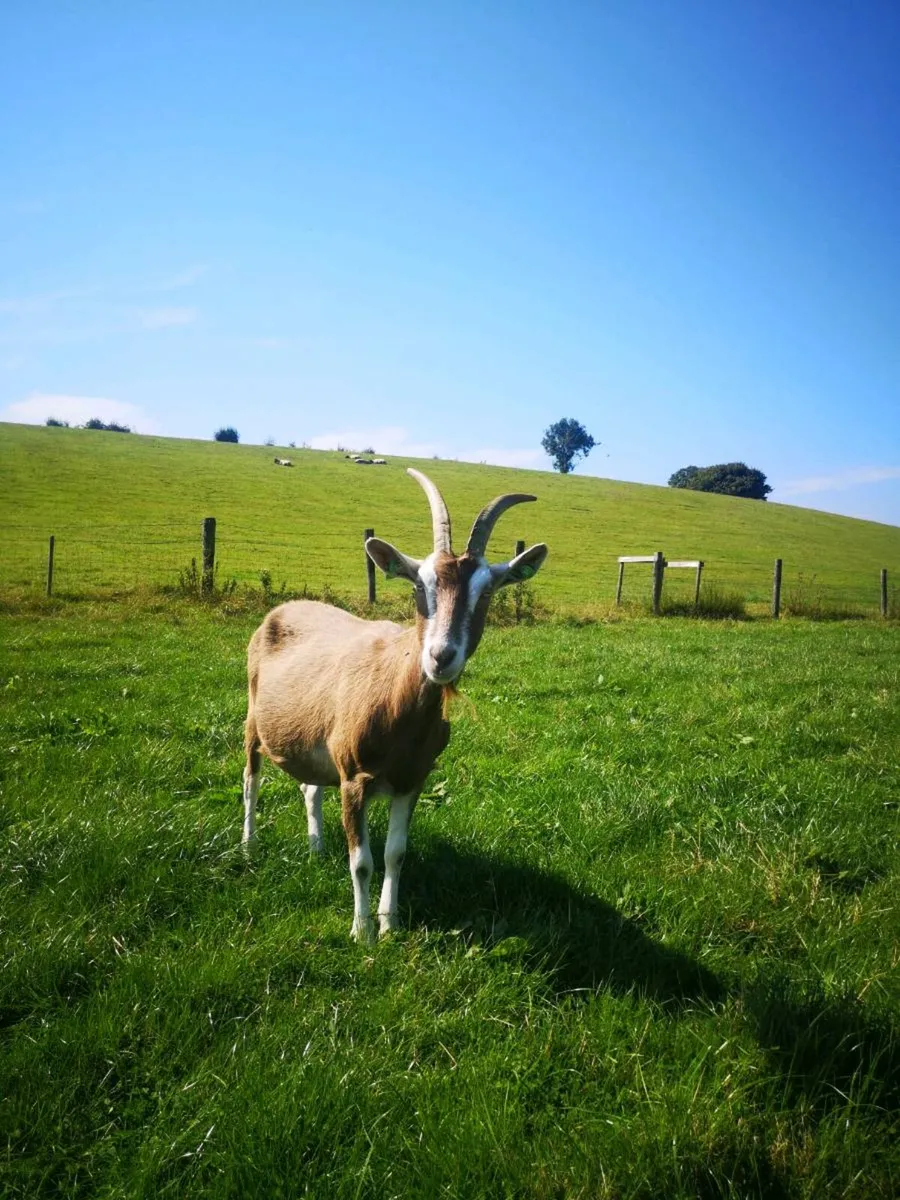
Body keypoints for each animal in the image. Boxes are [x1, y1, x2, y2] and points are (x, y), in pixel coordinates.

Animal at [242, 469, 548, 941]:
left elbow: (395, 854)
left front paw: (390, 923)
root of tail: (281, 610)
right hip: (254, 721)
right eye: (419, 585)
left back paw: (315, 848)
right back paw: (249, 846)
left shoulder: (412, 779)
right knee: (250, 778)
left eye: (487, 592)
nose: (441, 656)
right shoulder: (353, 778)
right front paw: (362, 931)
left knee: (310, 787)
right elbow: (362, 862)